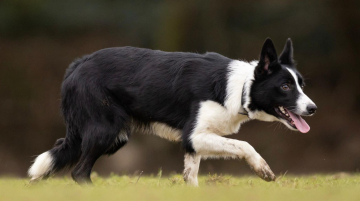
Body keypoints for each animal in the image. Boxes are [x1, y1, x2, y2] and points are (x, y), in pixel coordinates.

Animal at [30, 37, 318, 185]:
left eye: (301, 85)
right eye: (285, 86)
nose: (313, 108)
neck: (241, 87)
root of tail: (77, 66)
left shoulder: (194, 144)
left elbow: (190, 177)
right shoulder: (194, 136)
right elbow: (245, 145)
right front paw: (263, 170)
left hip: (113, 136)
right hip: (105, 131)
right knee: (79, 172)